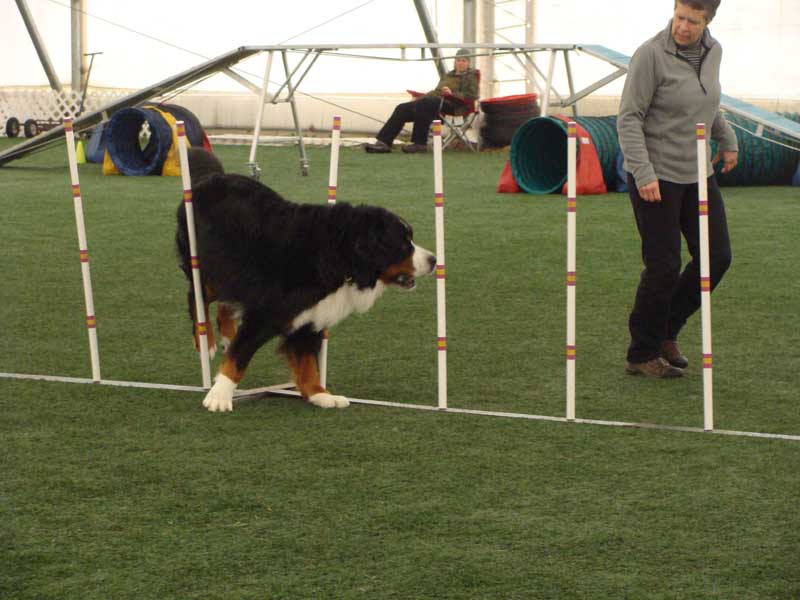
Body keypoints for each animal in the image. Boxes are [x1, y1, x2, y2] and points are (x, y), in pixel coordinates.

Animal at [177, 150, 438, 412]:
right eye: (402, 245)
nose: (434, 259)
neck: (340, 254)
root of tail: (212, 177)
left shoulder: (310, 317)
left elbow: (307, 363)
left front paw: (320, 394)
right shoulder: (265, 314)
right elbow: (239, 356)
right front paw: (219, 396)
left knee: (225, 305)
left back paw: (226, 336)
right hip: (204, 267)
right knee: (195, 298)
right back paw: (207, 342)